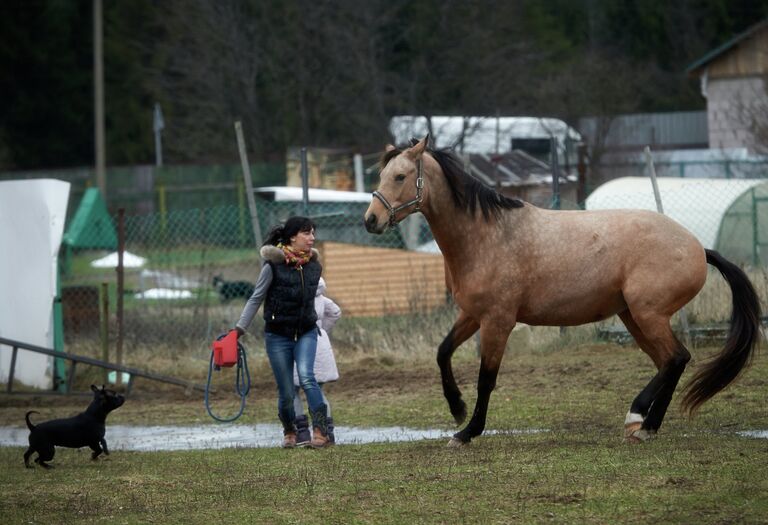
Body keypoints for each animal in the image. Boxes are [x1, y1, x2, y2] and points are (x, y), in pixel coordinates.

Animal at [364, 136, 760, 446]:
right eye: (382, 175)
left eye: (400, 176)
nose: (371, 220)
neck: (486, 235)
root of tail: (698, 247)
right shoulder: (473, 315)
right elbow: (443, 352)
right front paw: (456, 408)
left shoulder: (498, 321)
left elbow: (486, 379)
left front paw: (467, 431)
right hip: (634, 317)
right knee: (668, 362)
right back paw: (643, 423)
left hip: (648, 314)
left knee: (676, 359)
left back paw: (642, 421)